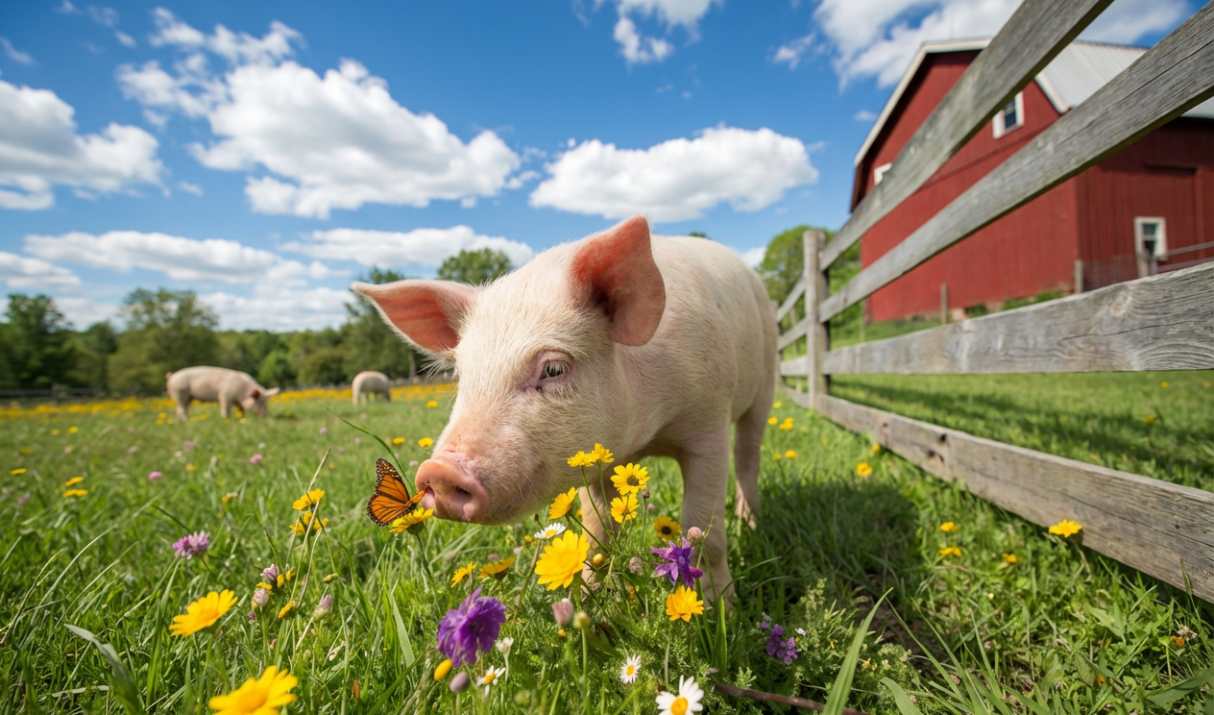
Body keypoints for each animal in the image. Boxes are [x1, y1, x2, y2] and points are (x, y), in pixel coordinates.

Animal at [353, 216, 775, 601]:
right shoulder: (591, 457)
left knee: (748, 456)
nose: (438, 471)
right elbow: (597, 528)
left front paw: (719, 608)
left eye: (554, 368)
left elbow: (703, 528)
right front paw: (588, 595)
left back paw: (752, 523)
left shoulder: (709, 424)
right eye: (460, 373)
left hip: (765, 382)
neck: (646, 437)